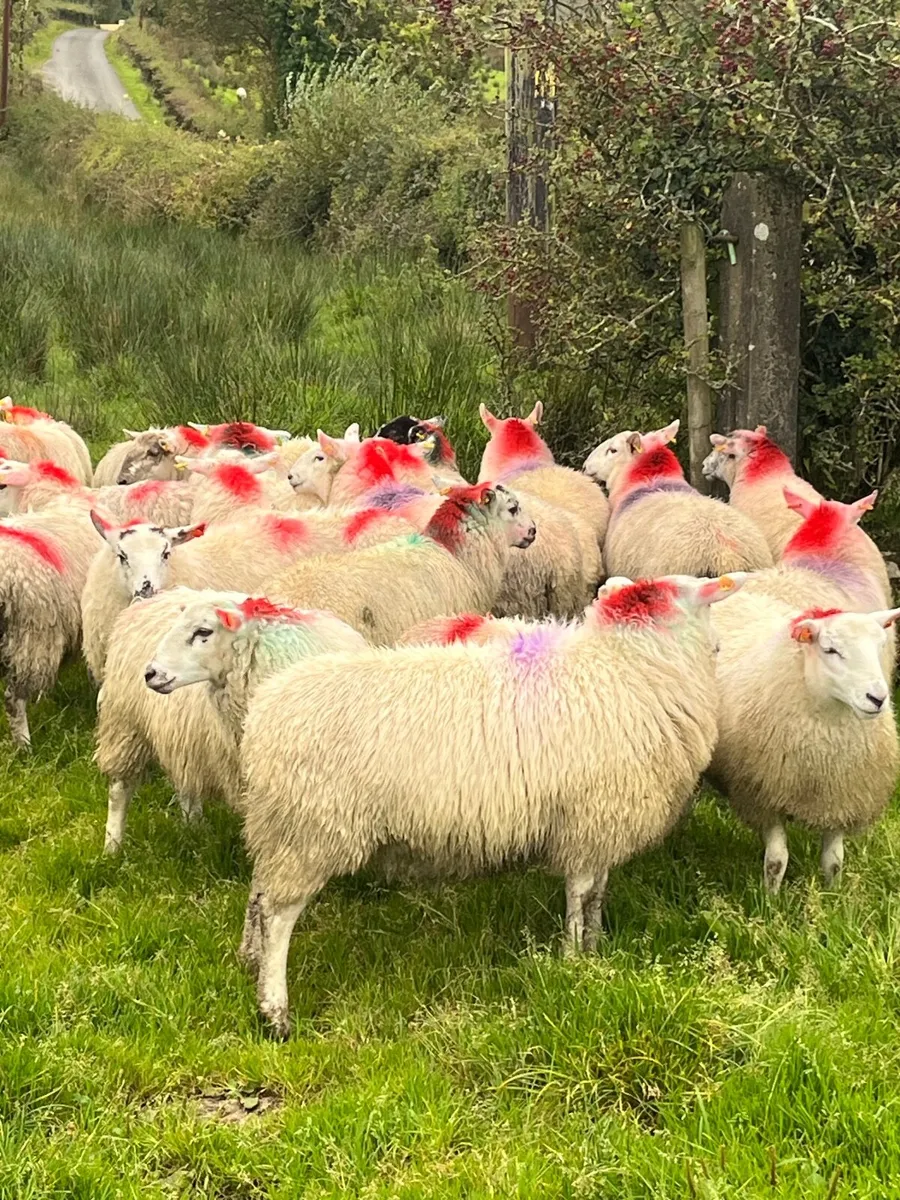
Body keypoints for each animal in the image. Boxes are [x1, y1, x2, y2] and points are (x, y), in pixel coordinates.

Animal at [238, 572, 740, 1037]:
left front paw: (596, 950)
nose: (720, 646)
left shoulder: (599, 825)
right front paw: (573, 959)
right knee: (278, 916)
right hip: (311, 830)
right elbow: (580, 894)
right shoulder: (587, 819)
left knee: (259, 897)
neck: (631, 666)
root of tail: (263, 715)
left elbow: (598, 893)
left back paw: (250, 961)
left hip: (279, 828)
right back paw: (275, 1012)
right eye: (702, 601)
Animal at [709, 594, 900, 893]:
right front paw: (770, 898)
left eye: (880, 646)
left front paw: (833, 896)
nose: (877, 698)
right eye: (830, 650)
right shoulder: (765, 795)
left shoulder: (839, 798)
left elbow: (834, 860)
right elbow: (777, 860)